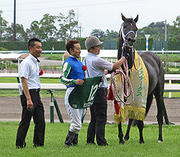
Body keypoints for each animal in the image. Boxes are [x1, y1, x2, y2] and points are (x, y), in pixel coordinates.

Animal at [117, 14, 167, 144]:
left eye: (136, 28)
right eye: (125, 26)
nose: (130, 40)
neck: (127, 69)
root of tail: (155, 57)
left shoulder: (139, 95)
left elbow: (139, 118)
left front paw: (141, 139)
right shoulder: (122, 95)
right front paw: (121, 138)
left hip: (158, 93)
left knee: (159, 115)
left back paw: (160, 138)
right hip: (148, 94)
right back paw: (127, 136)